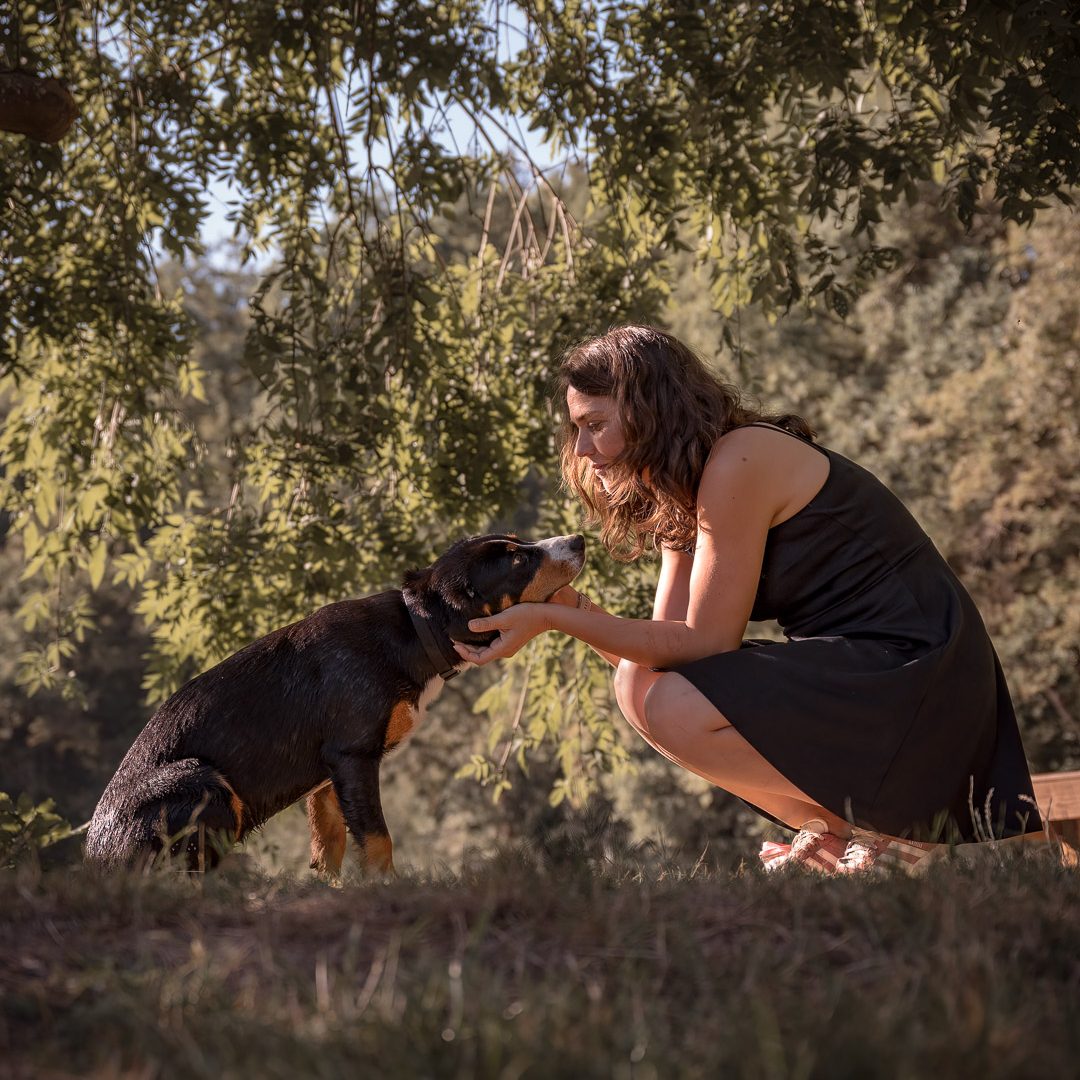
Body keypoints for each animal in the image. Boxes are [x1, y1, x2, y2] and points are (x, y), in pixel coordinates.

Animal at [85, 535, 587, 872]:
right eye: (519, 559)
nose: (578, 540)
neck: (412, 630)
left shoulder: (328, 779)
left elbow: (332, 848)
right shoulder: (353, 755)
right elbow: (379, 840)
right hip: (204, 782)